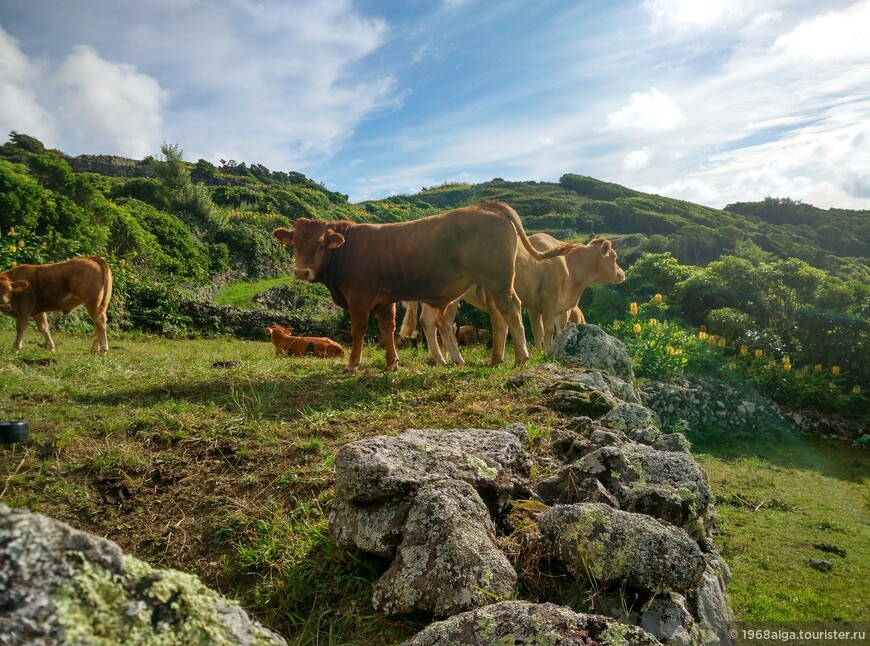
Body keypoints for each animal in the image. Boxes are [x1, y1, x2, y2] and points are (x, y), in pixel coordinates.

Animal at [270, 202, 576, 374]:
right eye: (295, 242)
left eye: (322, 243)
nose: (301, 271)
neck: (348, 251)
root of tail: (489, 205)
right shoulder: (385, 299)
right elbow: (388, 330)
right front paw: (391, 364)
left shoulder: (359, 298)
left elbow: (358, 331)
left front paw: (352, 365)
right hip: (492, 283)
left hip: (498, 280)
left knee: (512, 310)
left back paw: (521, 357)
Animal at [406, 234, 624, 368]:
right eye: (614, 256)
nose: (622, 273)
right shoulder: (551, 301)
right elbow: (548, 329)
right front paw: (547, 350)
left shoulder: (535, 306)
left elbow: (538, 329)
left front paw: (538, 351)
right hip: (451, 297)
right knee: (440, 323)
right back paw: (450, 359)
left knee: (433, 323)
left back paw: (446, 359)